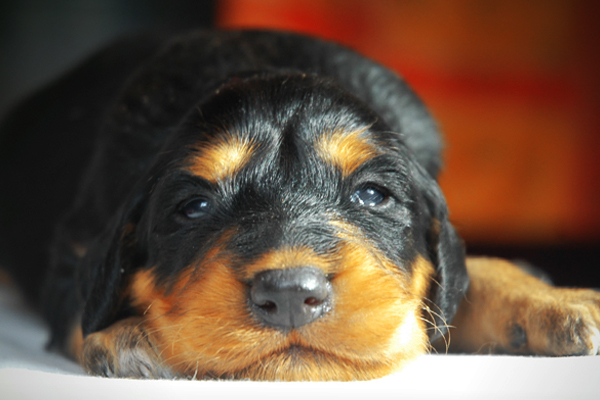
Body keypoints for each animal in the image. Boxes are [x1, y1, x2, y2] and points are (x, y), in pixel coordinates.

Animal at [1, 29, 600, 380]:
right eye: (194, 208)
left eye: (373, 195)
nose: (290, 293)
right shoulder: (71, 248)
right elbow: (78, 305)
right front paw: (127, 334)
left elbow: (470, 269)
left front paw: (554, 299)